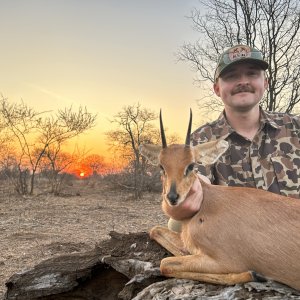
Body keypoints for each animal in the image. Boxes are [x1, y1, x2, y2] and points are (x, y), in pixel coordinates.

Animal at [139, 110, 300, 290]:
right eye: (162, 166)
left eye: (191, 165)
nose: (172, 197)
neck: (205, 205)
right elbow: (155, 231)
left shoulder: (226, 262)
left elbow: (164, 264)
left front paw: (254, 275)